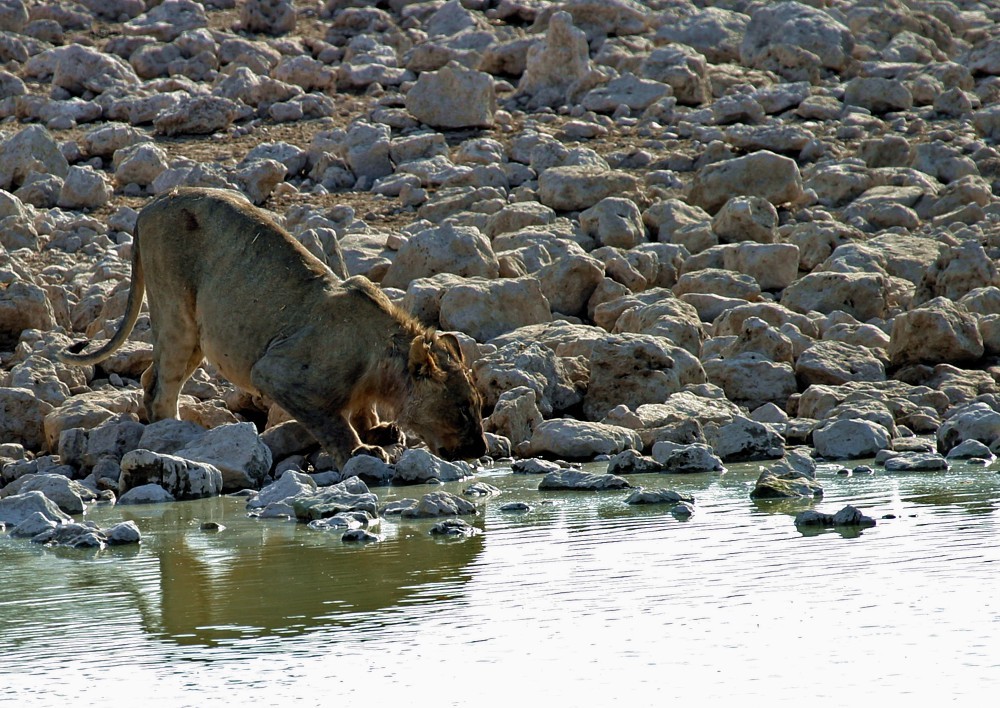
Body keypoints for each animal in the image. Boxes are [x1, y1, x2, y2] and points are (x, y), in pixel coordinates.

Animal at [58, 187, 488, 470]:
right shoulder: (276, 372)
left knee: (150, 375)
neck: (382, 362)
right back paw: (176, 434)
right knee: (161, 385)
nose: (481, 451)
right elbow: (332, 422)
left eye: (477, 405)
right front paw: (361, 451)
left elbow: (358, 411)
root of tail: (150, 205)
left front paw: (379, 431)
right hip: (179, 315)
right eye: (462, 409)